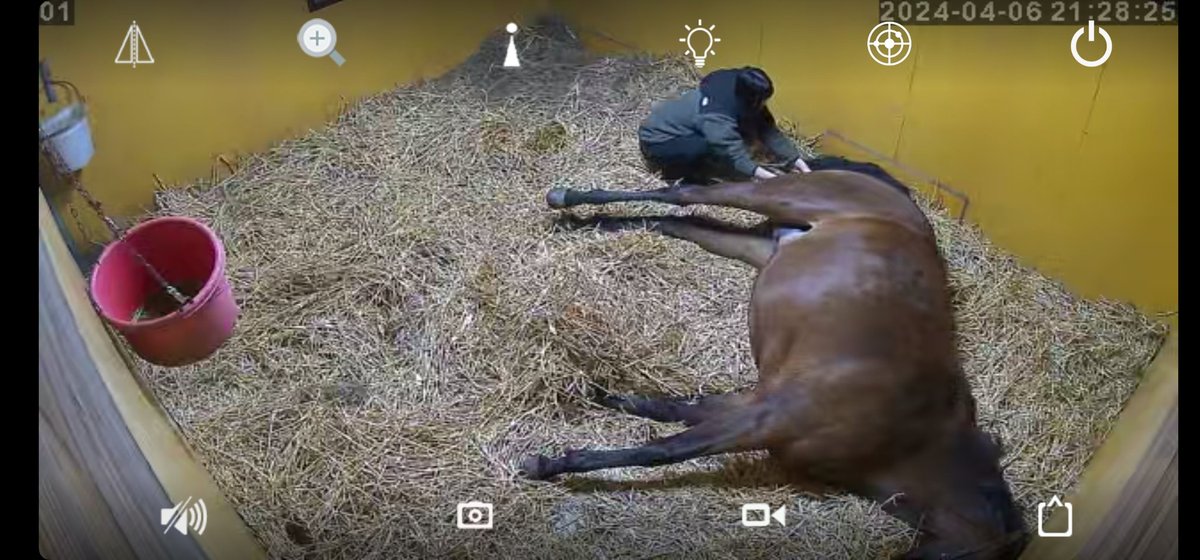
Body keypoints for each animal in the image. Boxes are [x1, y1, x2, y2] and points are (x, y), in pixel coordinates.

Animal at [520, 163, 1030, 560]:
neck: (912, 436)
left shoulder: (754, 400)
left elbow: (672, 409)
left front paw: (596, 393)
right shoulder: (768, 416)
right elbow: (665, 449)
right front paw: (550, 464)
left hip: (761, 248)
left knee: (677, 223)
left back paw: (587, 225)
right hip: (777, 196)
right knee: (683, 194)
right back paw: (566, 199)